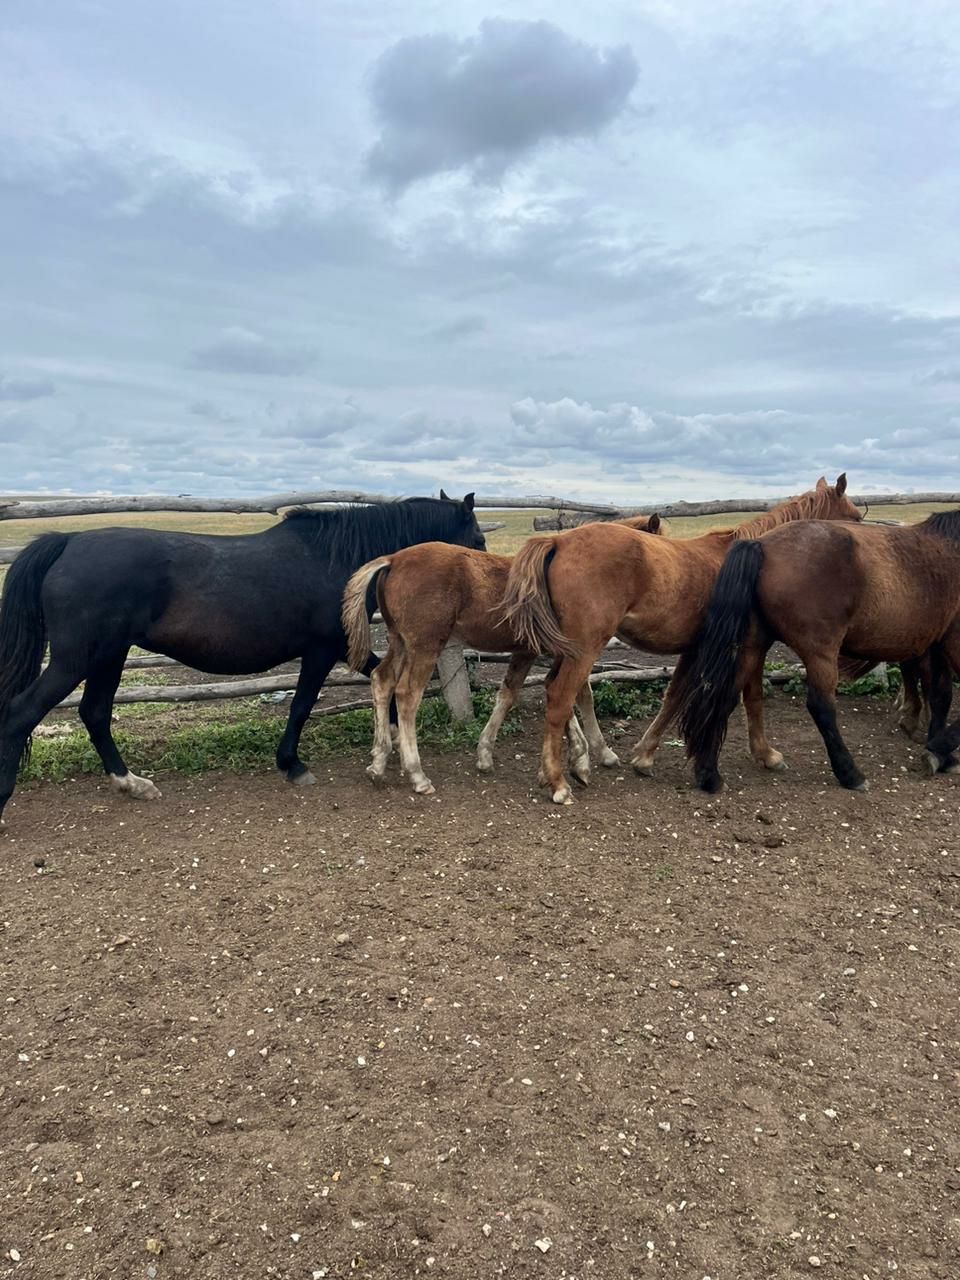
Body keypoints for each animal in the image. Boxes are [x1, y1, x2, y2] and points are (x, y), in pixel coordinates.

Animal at [0, 488, 483, 819]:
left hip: (109, 655)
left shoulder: (346, 649)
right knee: (23, 713)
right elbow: (303, 706)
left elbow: (379, 683)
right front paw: (292, 764)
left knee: (95, 713)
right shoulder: (324, 650)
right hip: (76, 658)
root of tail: (69, 541)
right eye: (477, 539)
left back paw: (132, 783)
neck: (337, 560)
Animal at [343, 509, 665, 788]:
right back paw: (417, 775)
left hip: (400, 642)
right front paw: (593, 754)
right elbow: (572, 695)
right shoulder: (554, 651)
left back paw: (378, 763)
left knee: (382, 680)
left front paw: (486, 755)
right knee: (407, 695)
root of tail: (393, 559)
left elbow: (528, 694)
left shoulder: (548, 652)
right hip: (424, 647)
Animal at [499, 476, 860, 803]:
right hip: (585, 648)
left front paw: (644, 756)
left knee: (555, 688)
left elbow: (674, 696)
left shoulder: (695, 650)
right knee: (561, 697)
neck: (758, 558)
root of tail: (558, 541)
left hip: (570, 649)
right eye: (855, 517)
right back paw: (559, 782)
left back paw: (563, 768)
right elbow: (752, 698)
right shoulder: (751, 646)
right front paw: (767, 755)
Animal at [675, 506, 960, 788]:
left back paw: (709, 775)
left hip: (751, 646)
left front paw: (941, 755)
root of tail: (762, 545)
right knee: (821, 707)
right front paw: (940, 746)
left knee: (725, 695)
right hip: (820, 652)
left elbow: (941, 695)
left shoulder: (938, 646)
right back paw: (850, 773)